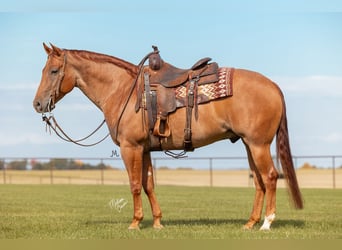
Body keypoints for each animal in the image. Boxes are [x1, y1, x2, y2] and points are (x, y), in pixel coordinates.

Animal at [33, 43, 304, 230]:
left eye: (54, 71)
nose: (37, 104)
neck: (122, 90)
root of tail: (273, 86)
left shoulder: (130, 147)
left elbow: (134, 184)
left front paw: (135, 222)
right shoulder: (144, 149)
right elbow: (148, 184)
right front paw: (157, 222)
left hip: (258, 144)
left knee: (270, 177)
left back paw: (267, 223)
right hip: (249, 144)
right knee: (259, 181)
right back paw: (250, 222)